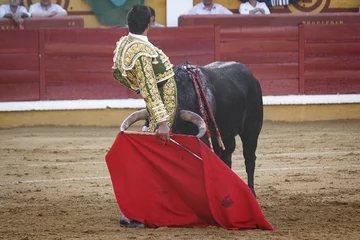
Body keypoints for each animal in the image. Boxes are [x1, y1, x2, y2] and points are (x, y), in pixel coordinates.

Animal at [120, 61, 262, 196]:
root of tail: (253, 78)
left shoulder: (204, 139)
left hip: (252, 128)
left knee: (249, 158)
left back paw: (251, 191)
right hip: (225, 134)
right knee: (226, 156)